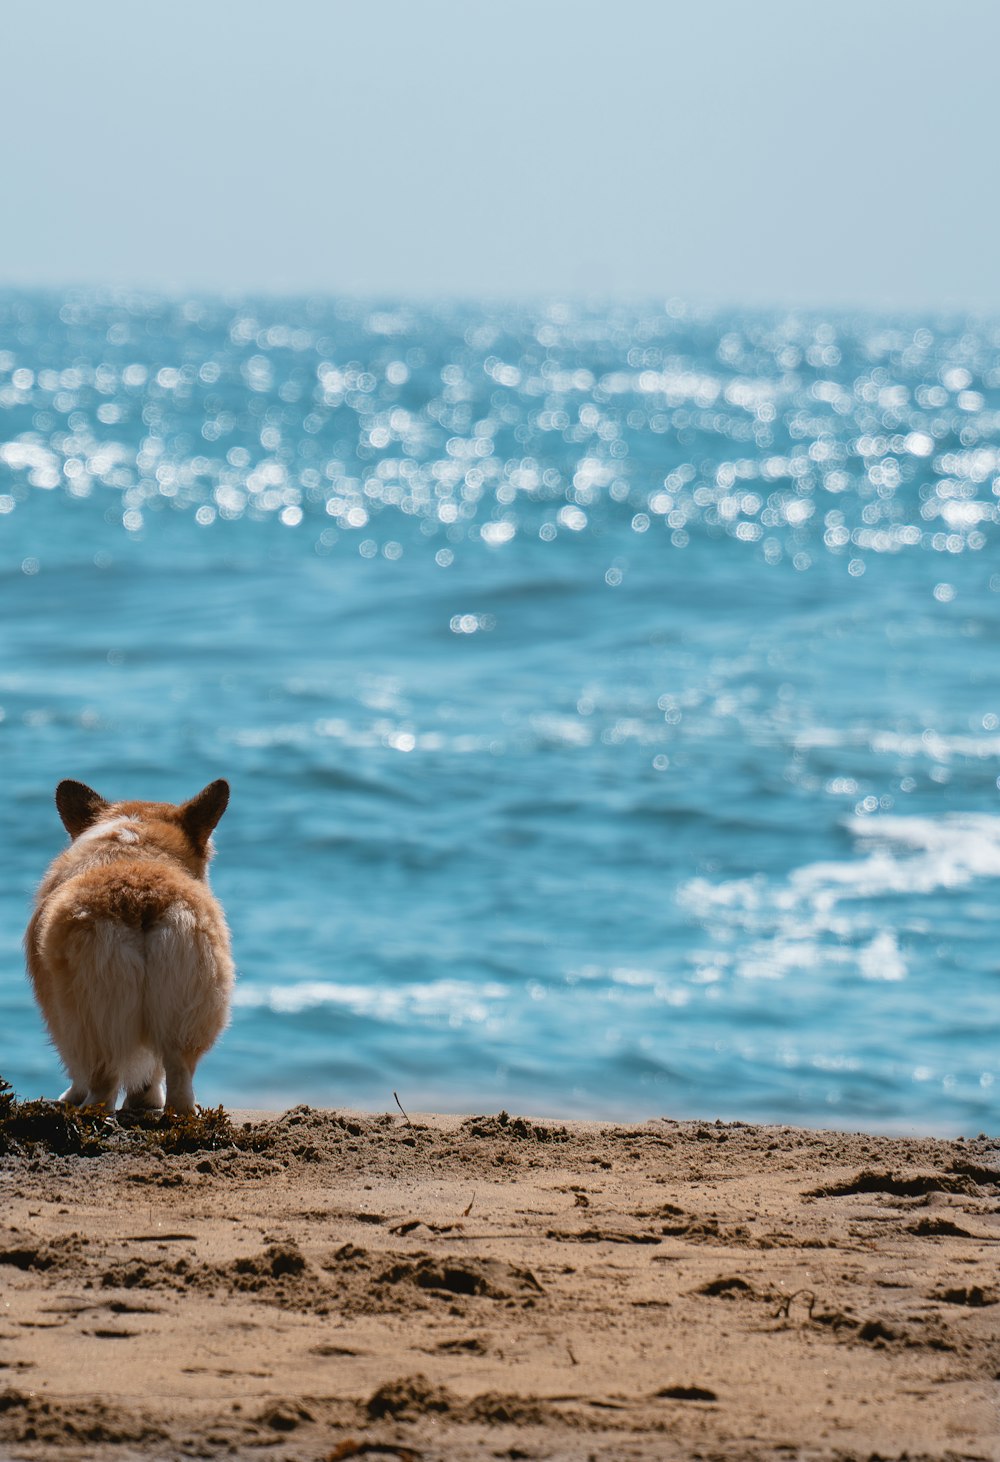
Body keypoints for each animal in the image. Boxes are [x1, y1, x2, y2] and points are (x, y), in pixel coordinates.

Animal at [26, 783, 233, 1111]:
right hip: (187, 1006)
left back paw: (88, 1110)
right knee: (178, 1074)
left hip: (91, 1013)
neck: (138, 840)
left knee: (101, 1078)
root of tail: (141, 899)